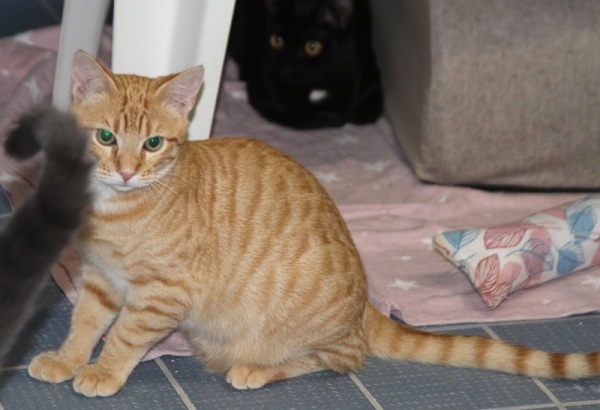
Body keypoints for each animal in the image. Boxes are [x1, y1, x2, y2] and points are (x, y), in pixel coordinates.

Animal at [27, 50, 600, 398]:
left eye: (152, 144)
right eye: (105, 136)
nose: (126, 170)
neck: (117, 208)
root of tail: (366, 304)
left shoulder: (162, 293)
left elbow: (125, 336)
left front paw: (103, 371)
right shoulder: (99, 279)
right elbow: (85, 324)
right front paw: (67, 358)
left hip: (301, 331)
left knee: (344, 357)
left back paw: (255, 368)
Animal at [228, 0, 383, 129]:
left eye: (312, 46)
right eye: (277, 40)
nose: (287, 65)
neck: (315, 85)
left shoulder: (367, 73)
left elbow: (363, 111)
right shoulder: (264, 99)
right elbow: (300, 118)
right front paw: (334, 117)